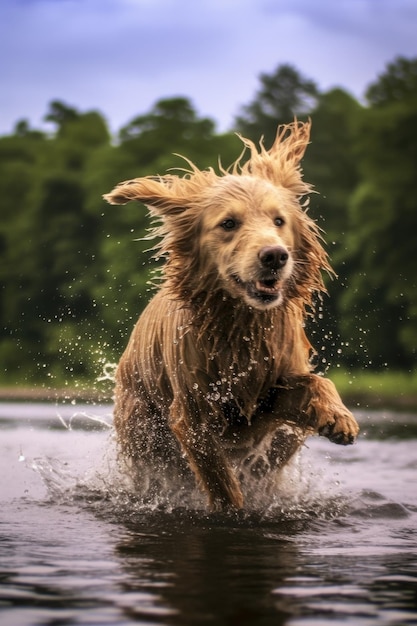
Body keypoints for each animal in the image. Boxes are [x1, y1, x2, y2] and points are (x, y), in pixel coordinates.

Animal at [104, 120, 358, 508]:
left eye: (279, 220)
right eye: (228, 223)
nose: (275, 255)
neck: (241, 325)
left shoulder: (271, 387)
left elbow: (316, 382)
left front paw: (338, 416)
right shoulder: (192, 414)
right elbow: (219, 477)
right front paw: (233, 508)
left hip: (282, 439)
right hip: (143, 428)